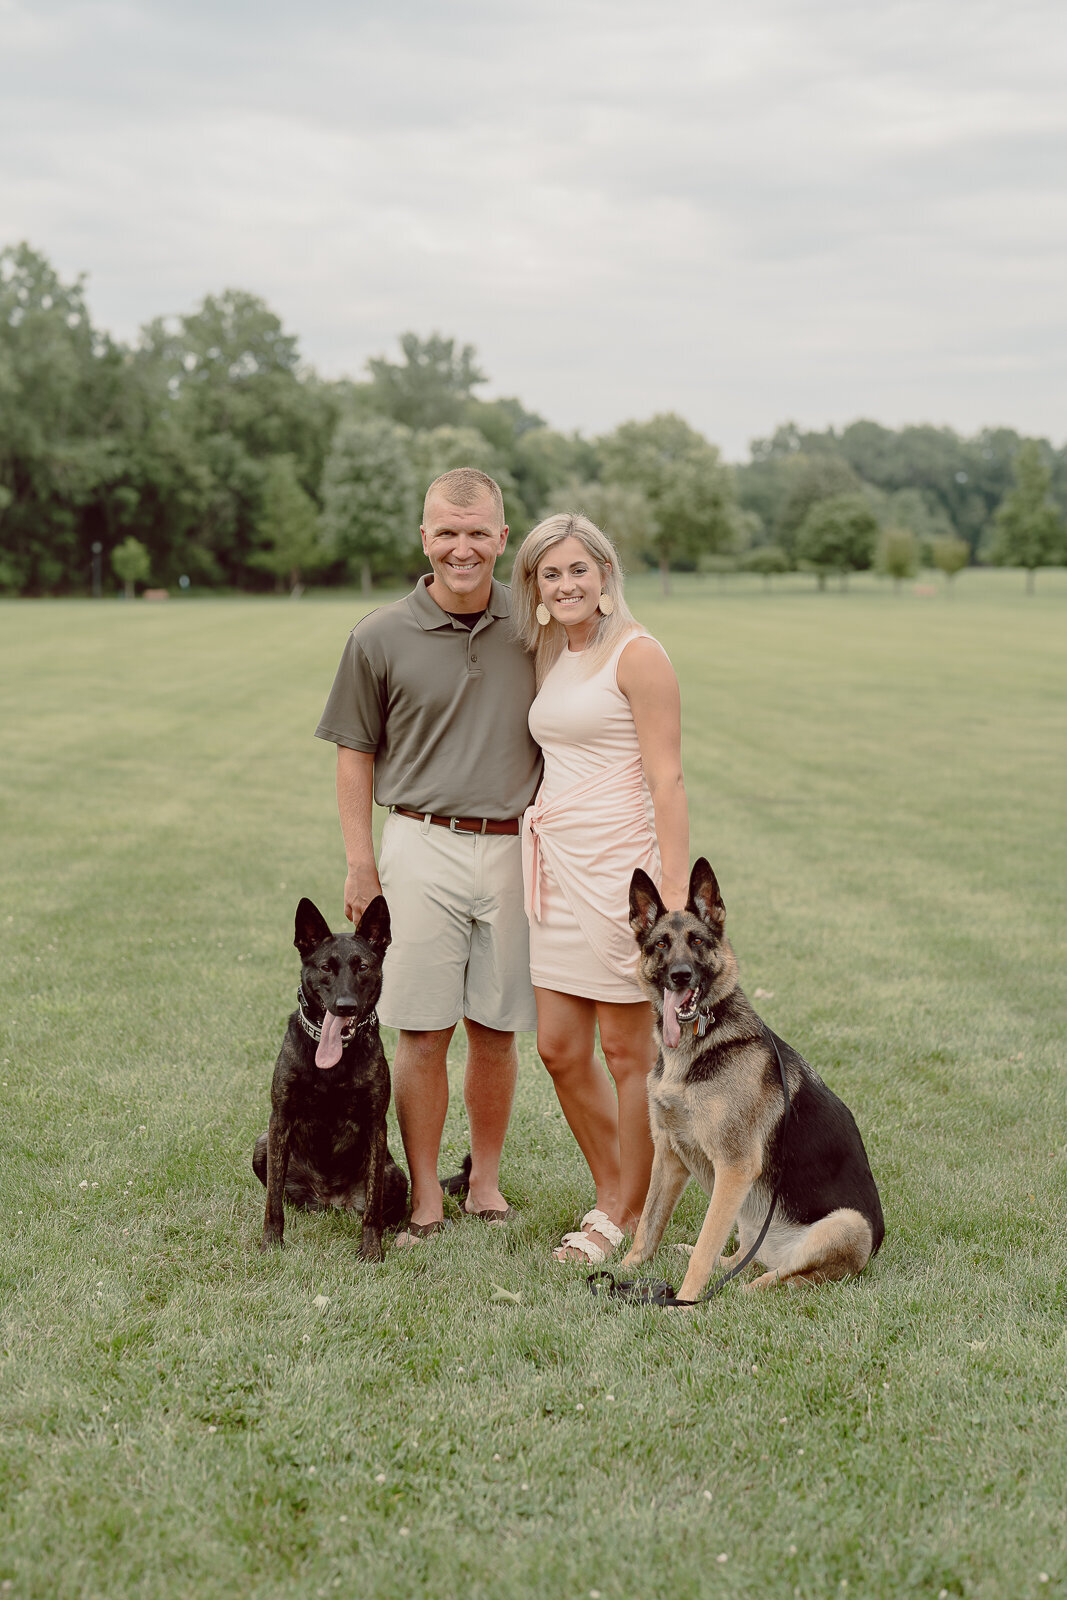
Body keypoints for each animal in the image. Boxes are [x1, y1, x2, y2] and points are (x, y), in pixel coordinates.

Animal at [254, 896, 409, 1254]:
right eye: (326, 967)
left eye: (362, 967)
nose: (345, 1006)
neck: (332, 1061)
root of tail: (330, 1202)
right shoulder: (279, 1119)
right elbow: (272, 1200)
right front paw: (271, 1243)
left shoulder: (375, 1124)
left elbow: (373, 1207)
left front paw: (372, 1250)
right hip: (262, 1145)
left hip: (395, 1174)